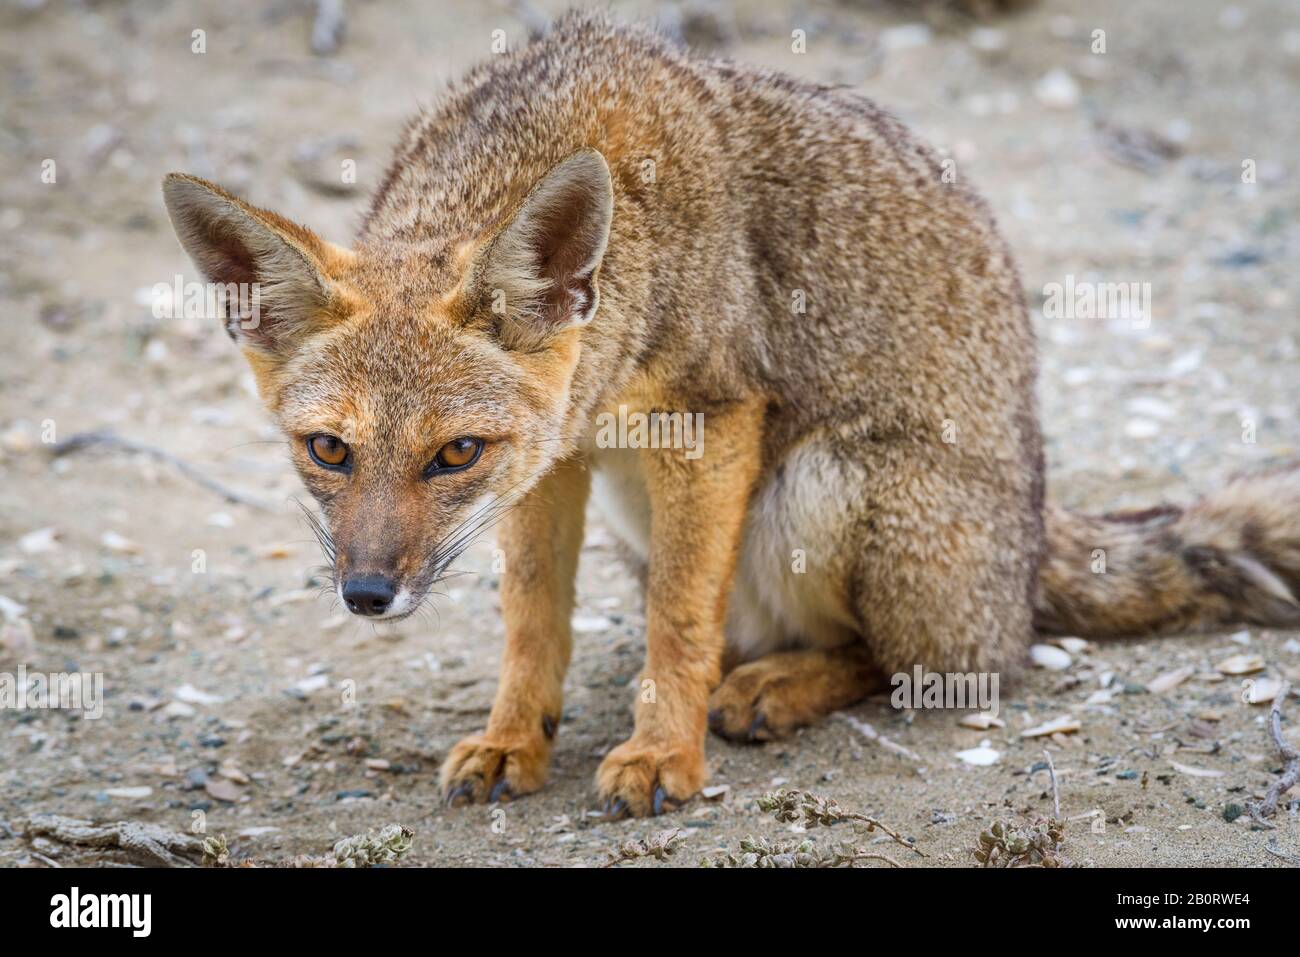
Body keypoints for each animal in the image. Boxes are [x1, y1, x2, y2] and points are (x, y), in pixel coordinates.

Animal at [162, 11, 1300, 816]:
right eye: (326, 449)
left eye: (453, 454)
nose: (366, 594)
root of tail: (1030, 542)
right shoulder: (554, 459)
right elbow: (532, 615)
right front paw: (515, 737)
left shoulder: (710, 419)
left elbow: (679, 614)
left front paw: (665, 752)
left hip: (829, 483)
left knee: (932, 666)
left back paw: (775, 688)